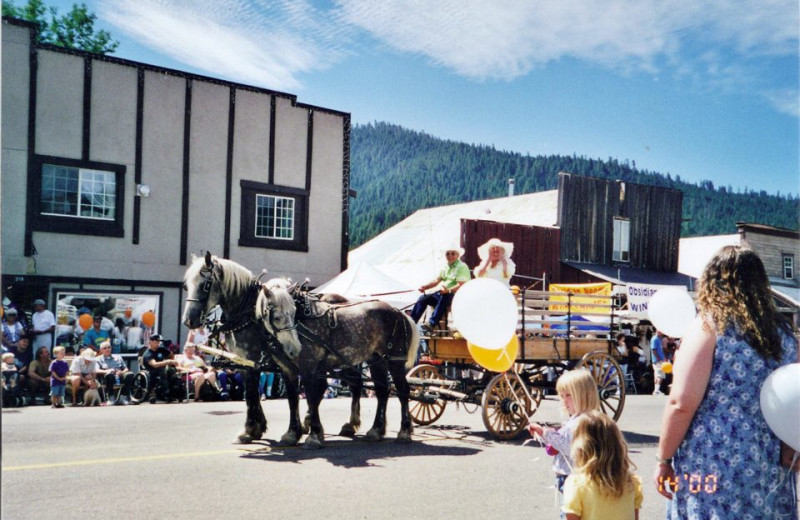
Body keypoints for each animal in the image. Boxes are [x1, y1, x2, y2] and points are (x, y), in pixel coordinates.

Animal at [181, 252, 304, 442]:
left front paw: (288, 432)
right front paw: (255, 428)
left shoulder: (275, 363)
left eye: (205, 285)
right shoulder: (244, 363)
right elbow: (250, 394)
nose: (189, 320)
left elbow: (280, 395)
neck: (249, 315)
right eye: (186, 286)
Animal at [258, 282, 422, 448]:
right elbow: (293, 400)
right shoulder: (288, 370)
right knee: (381, 391)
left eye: (293, 312)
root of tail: (400, 313)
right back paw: (375, 431)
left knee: (402, 391)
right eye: (277, 317)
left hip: (395, 361)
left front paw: (314, 435)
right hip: (377, 361)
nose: (295, 348)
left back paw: (404, 432)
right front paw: (292, 434)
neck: (303, 322)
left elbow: (311, 397)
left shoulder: (309, 368)